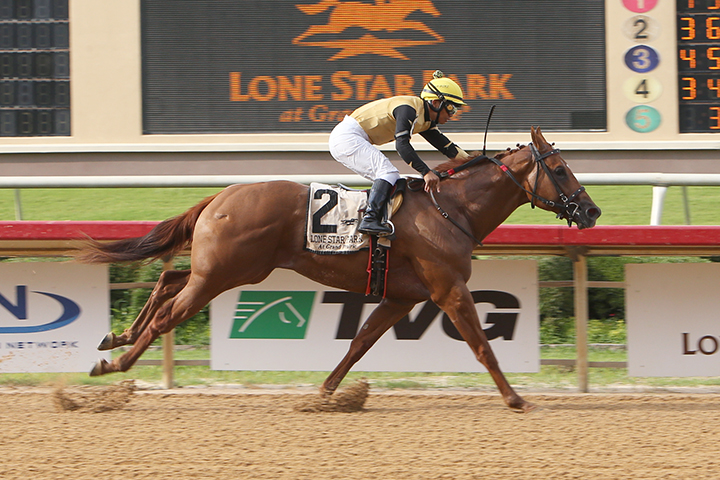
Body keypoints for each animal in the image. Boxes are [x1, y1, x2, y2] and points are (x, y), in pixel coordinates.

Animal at [77, 127, 601, 413]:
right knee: (170, 314)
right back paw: (115, 364)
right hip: (223, 274)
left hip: (222, 270)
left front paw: (324, 394)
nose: (591, 212)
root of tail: (221, 196)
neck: (451, 210)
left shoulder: (402, 296)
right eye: (560, 169)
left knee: (167, 281)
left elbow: (359, 343)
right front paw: (517, 399)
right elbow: (482, 346)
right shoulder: (448, 289)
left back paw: (116, 337)